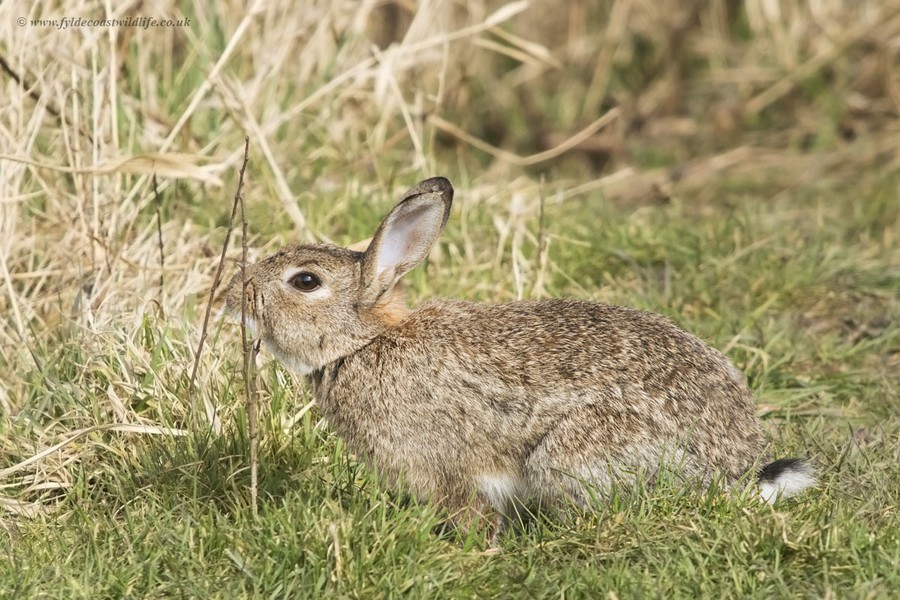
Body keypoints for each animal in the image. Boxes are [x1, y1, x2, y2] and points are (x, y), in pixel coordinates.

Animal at [225, 178, 816, 536]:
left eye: (305, 282)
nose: (235, 295)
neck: (364, 343)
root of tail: (737, 473)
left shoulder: (443, 467)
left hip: (573, 455)